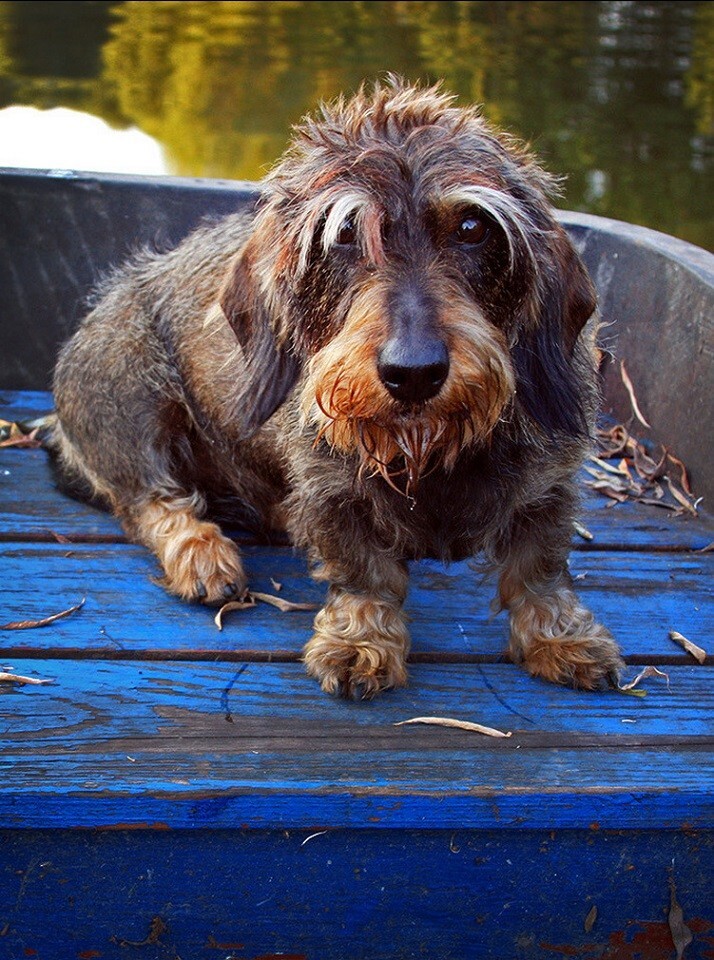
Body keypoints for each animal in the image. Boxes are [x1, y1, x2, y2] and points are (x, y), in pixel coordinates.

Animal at [51, 79, 624, 696]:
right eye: (345, 234)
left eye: (473, 229)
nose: (414, 372)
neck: (426, 451)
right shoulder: (332, 492)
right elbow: (364, 573)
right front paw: (361, 641)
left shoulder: (549, 486)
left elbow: (539, 568)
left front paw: (560, 637)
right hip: (126, 389)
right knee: (149, 502)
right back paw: (202, 555)